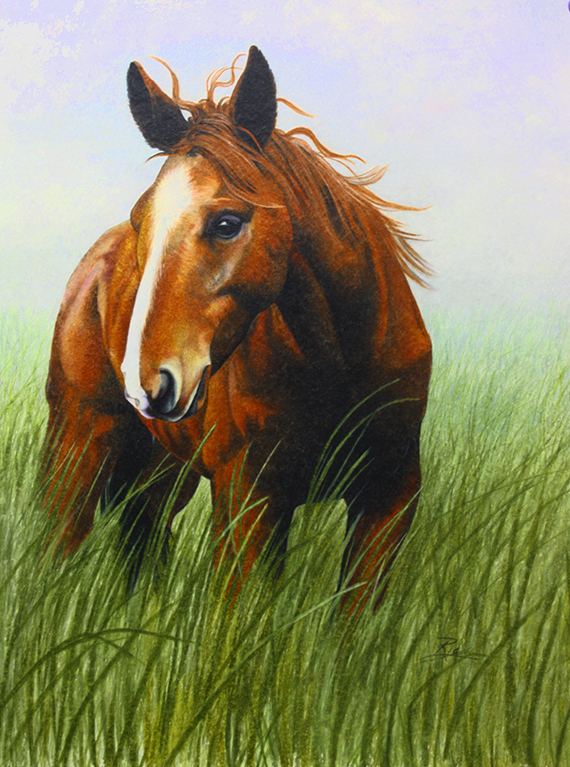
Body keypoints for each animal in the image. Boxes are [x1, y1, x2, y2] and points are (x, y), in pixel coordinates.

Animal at [42, 46, 432, 605]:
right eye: (142, 221)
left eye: (227, 223)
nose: (145, 383)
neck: (339, 363)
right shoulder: (250, 500)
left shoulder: (387, 500)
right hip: (81, 442)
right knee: (60, 545)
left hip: (164, 472)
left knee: (143, 540)